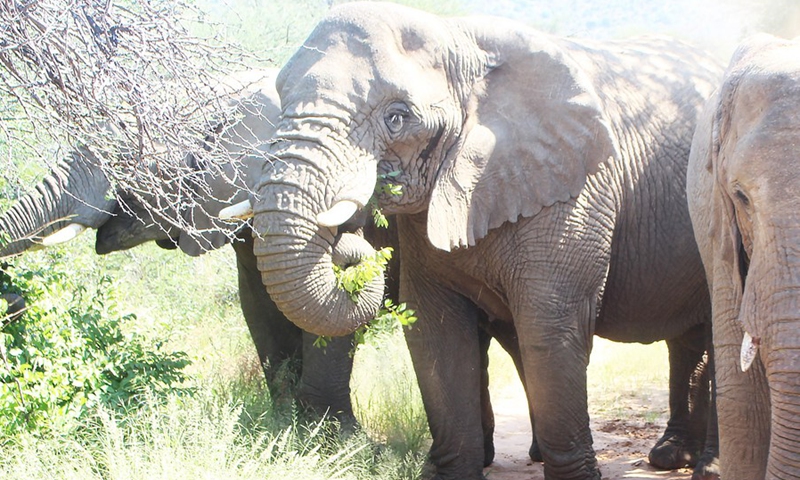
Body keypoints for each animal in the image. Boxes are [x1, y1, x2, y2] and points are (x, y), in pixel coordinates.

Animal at [231, 3, 724, 480]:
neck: (460, 39)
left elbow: (550, 328)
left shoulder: (575, 189)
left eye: (397, 117)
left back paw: (704, 467)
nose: (349, 245)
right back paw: (672, 457)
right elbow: (437, 333)